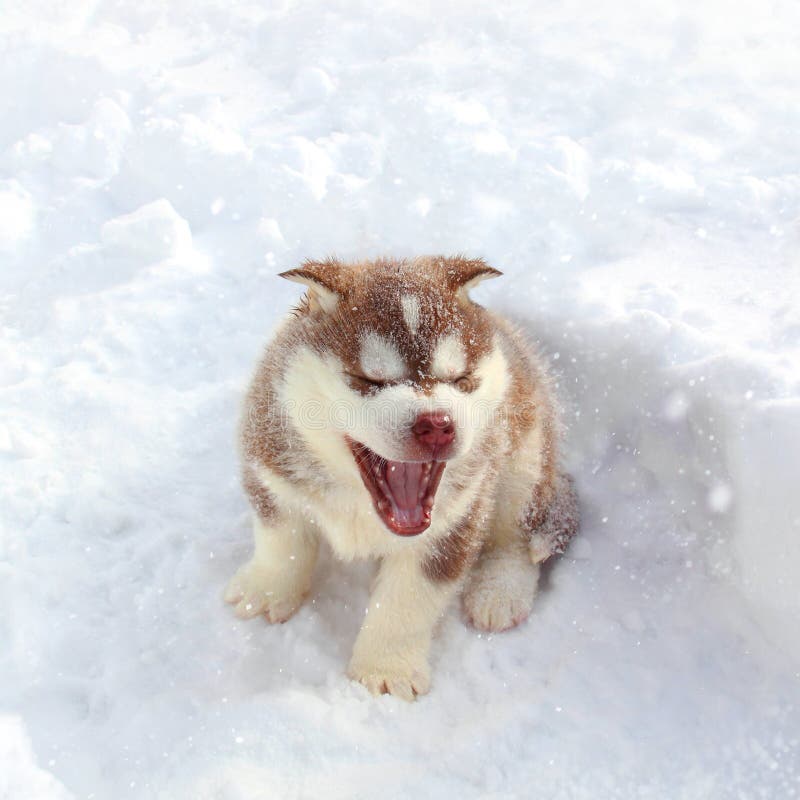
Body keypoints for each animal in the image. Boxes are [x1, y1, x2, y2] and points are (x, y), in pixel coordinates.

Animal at [225, 256, 576, 700]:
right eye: (369, 380)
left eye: (461, 380)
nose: (437, 425)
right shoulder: (272, 467)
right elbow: (281, 538)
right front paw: (267, 591)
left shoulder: (454, 519)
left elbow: (408, 601)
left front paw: (384, 670)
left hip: (526, 453)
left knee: (518, 534)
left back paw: (499, 591)